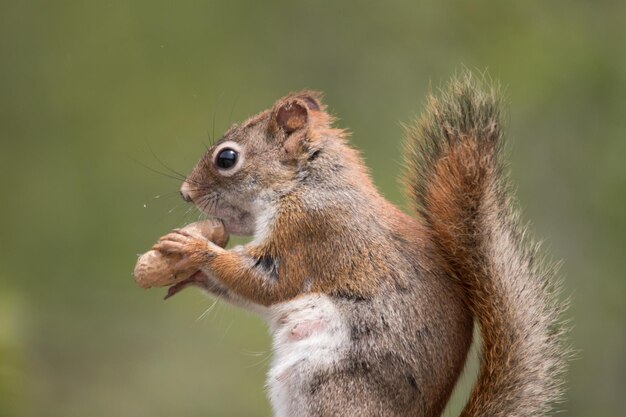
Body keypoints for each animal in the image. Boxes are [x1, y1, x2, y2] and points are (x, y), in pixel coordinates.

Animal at [150, 74, 564, 416]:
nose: (186, 193)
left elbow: (268, 284)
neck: (305, 181)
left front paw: (194, 248)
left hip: (331, 389)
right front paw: (190, 273)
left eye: (227, 158)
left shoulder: (310, 231)